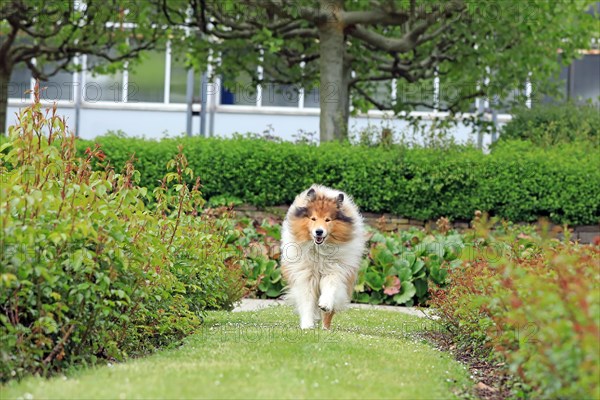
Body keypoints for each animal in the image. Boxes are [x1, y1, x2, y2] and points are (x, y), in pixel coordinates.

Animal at [282, 184, 366, 328]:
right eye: (313, 218)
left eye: (328, 220)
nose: (319, 232)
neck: (319, 251)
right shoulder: (306, 276)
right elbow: (307, 301)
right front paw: (307, 325)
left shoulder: (335, 271)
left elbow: (330, 288)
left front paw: (325, 304)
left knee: (329, 313)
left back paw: (325, 326)